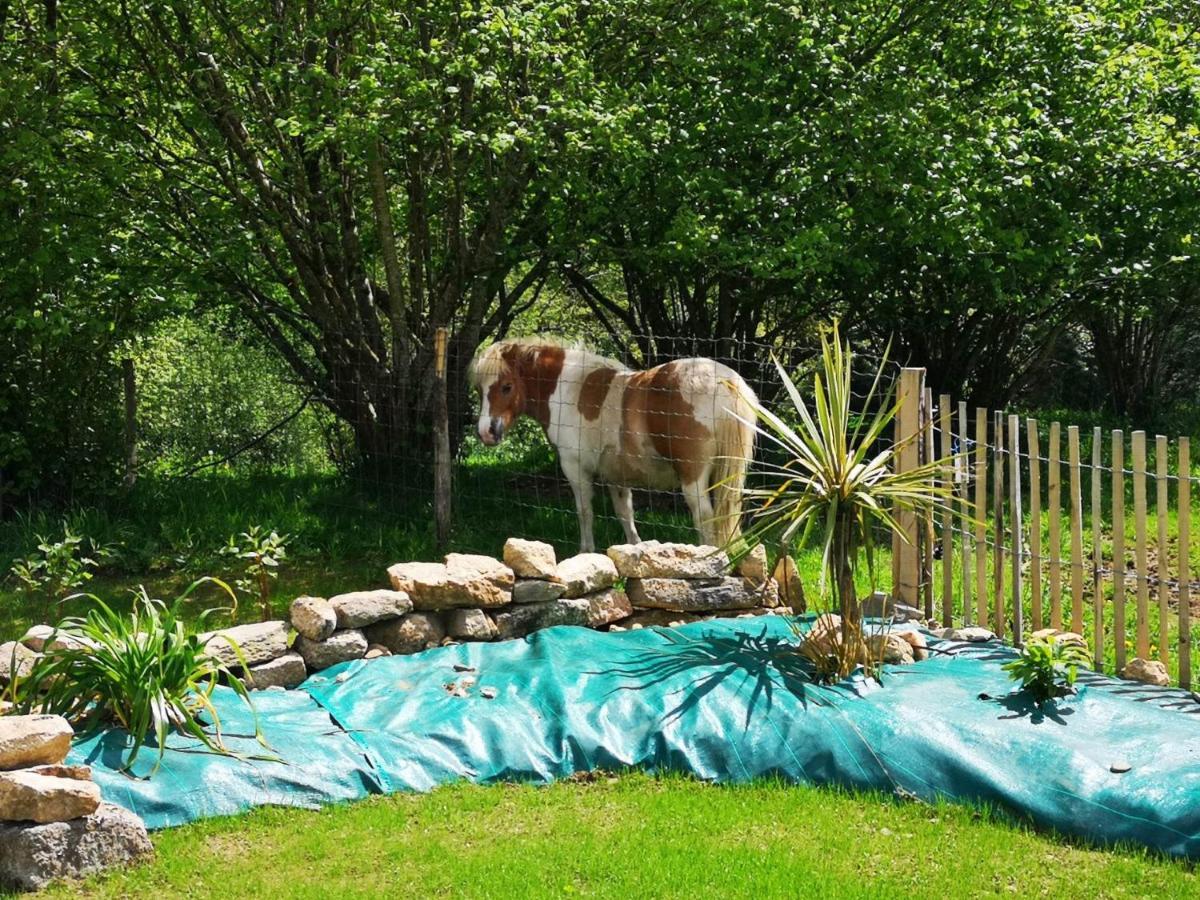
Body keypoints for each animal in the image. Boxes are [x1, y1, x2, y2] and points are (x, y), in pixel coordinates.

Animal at [472, 336, 753, 549]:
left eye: (507, 386)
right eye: (479, 389)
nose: (486, 432)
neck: (568, 389)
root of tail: (724, 382)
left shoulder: (575, 468)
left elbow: (585, 512)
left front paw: (586, 552)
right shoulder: (617, 477)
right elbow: (625, 515)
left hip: (693, 478)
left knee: (704, 519)